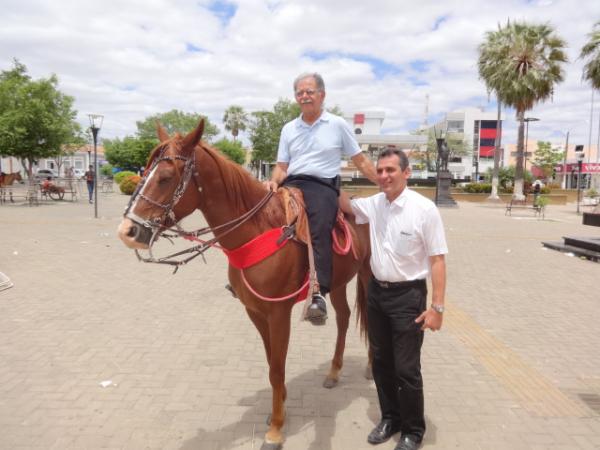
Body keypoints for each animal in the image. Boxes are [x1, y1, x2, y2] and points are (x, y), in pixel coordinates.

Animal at [116, 120, 370, 450]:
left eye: (166, 177)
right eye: (144, 171)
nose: (128, 231)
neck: (259, 228)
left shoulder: (279, 313)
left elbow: (277, 368)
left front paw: (275, 430)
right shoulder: (255, 312)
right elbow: (271, 363)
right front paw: (280, 408)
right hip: (339, 283)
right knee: (344, 318)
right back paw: (334, 371)